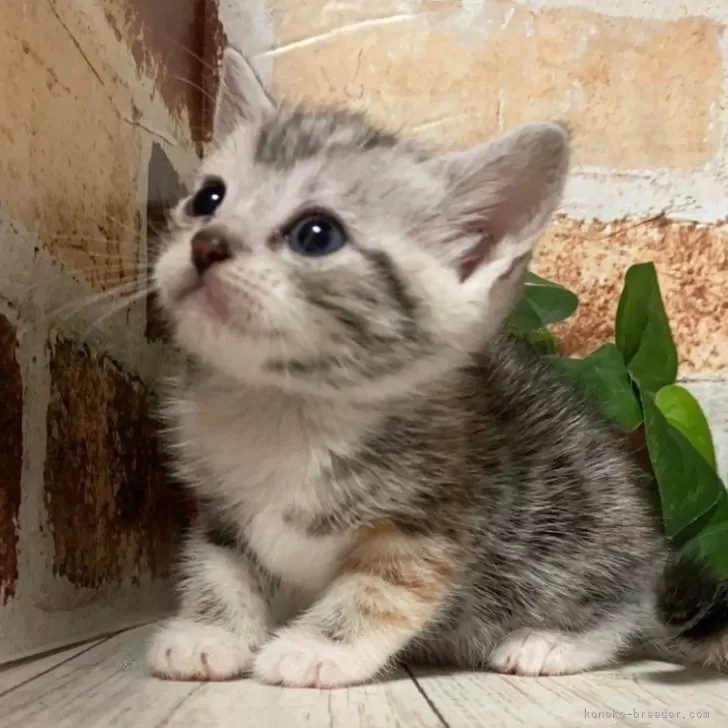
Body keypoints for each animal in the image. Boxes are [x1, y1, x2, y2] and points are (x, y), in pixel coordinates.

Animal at [146, 48, 728, 684]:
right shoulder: (219, 505)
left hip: (587, 538)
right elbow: (219, 565)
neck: (285, 408)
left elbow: (380, 591)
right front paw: (209, 632)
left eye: (316, 234)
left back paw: (549, 642)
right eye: (208, 199)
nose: (206, 244)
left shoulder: (433, 527)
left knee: (621, 611)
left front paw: (317, 648)